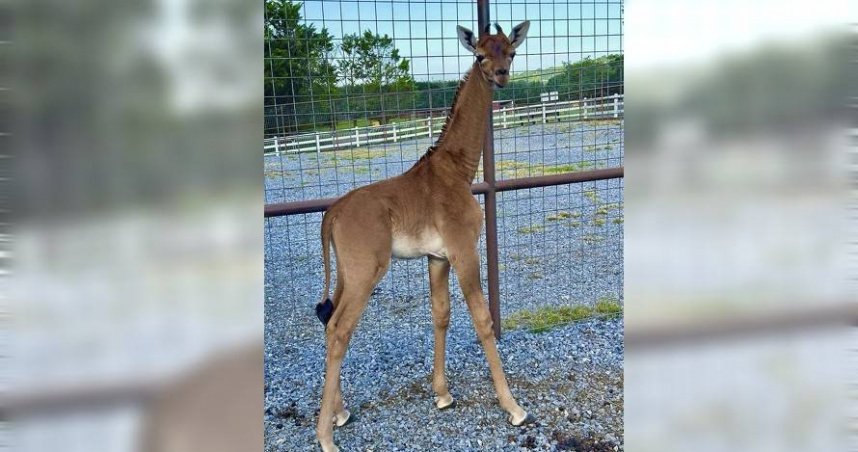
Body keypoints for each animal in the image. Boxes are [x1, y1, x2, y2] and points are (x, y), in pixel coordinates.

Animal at [313, 21, 532, 451]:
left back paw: (340, 412)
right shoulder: (464, 250)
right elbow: (482, 319)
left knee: (329, 322)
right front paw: (513, 407)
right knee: (340, 329)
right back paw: (326, 436)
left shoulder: (438, 257)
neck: (458, 171)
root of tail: (331, 214)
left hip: (347, 272)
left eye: (511, 52)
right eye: (480, 55)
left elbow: (441, 314)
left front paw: (443, 394)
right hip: (366, 271)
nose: (501, 75)